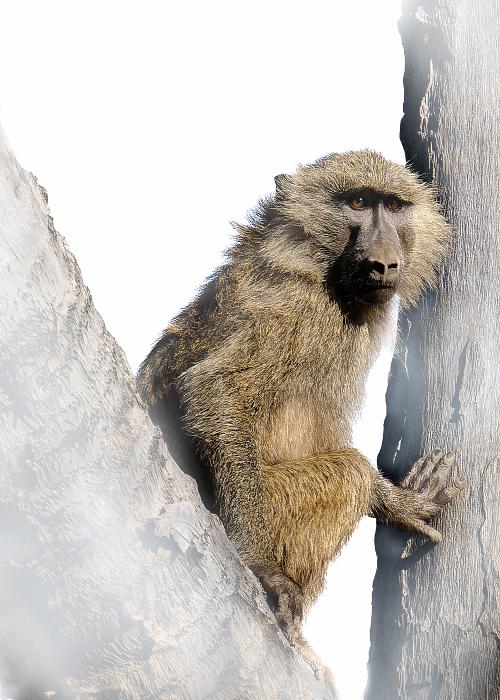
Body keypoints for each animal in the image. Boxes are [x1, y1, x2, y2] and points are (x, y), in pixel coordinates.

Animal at [136, 150, 464, 666]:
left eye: (394, 205)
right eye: (357, 202)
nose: (384, 263)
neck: (318, 266)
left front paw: (401, 502)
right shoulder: (296, 312)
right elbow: (215, 393)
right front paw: (260, 569)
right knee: (347, 474)